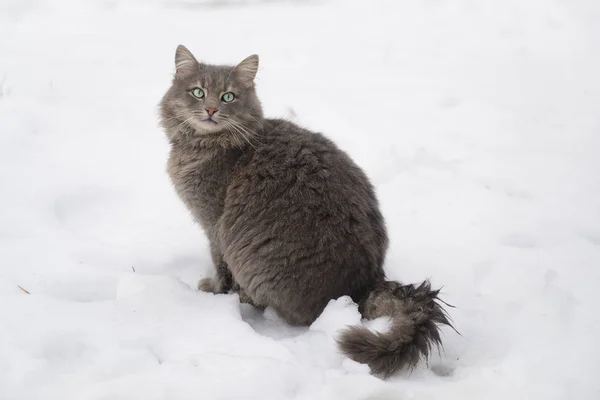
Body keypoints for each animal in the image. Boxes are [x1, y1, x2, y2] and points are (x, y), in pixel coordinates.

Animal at [158, 45, 450, 376]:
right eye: (198, 92)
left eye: (228, 97)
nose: (210, 110)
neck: (206, 146)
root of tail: (366, 283)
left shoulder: (215, 226)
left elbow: (221, 268)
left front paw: (214, 291)